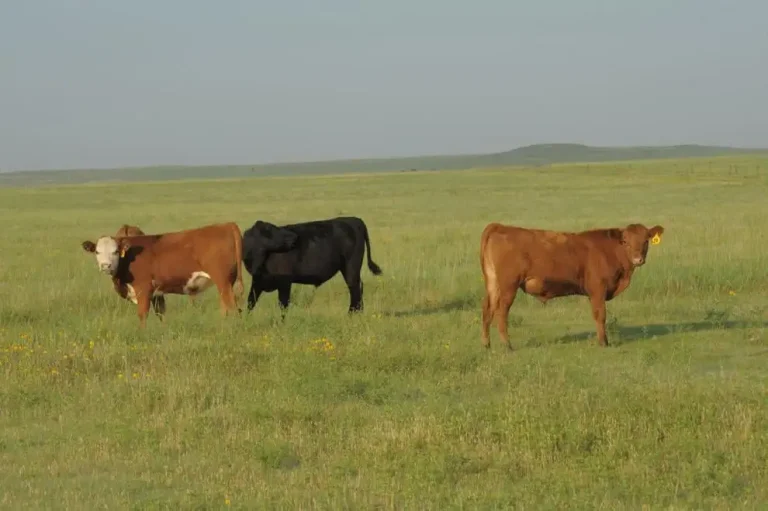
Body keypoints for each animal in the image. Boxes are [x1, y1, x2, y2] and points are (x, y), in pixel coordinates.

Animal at [81, 222, 244, 327]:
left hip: (222, 280)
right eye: (97, 252)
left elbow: (142, 315)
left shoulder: (143, 289)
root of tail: (226, 225)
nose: (106, 266)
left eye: (115, 251)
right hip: (225, 283)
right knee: (225, 306)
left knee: (232, 307)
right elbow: (161, 313)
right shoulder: (157, 293)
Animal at [241, 216, 382, 316]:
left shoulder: (285, 282)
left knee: (355, 288)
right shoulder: (257, 282)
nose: (294, 237)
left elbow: (283, 304)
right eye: (269, 230)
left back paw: (352, 313)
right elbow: (250, 301)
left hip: (351, 268)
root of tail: (355, 220)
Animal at [480, 222, 665, 350]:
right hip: (508, 286)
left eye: (646, 241)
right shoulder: (597, 289)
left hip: (493, 284)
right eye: (625, 241)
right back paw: (507, 346)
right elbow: (600, 315)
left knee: (487, 310)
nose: (638, 259)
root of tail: (500, 226)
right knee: (501, 312)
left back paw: (487, 345)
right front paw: (603, 343)